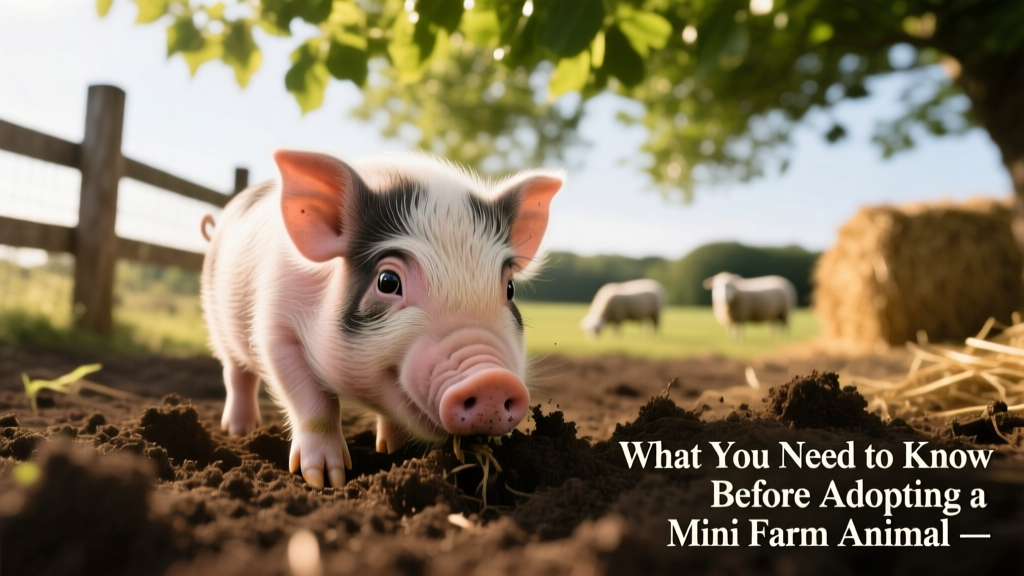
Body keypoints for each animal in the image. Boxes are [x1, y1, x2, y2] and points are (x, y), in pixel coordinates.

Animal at [201, 150, 563, 488]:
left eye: (510, 288)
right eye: (388, 281)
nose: (492, 381)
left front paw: (393, 452)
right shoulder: (275, 329)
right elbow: (312, 402)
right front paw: (326, 480)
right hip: (218, 323)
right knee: (237, 374)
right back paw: (239, 430)